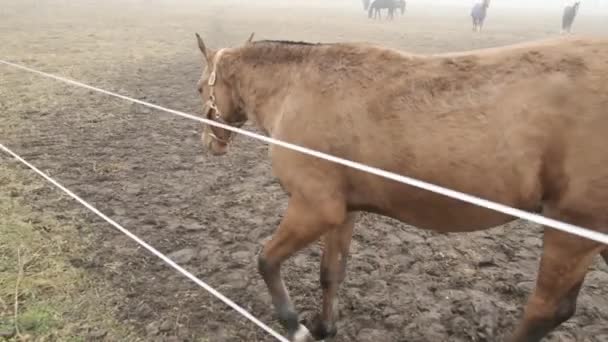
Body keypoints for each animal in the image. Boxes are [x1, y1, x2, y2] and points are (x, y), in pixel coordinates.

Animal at [194, 34, 608, 342]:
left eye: (200, 88)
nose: (209, 143)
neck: (300, 89)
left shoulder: (313, 208)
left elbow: (266, 261)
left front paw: (295, 326)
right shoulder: (343, 212)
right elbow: (331, 273)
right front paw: (325, 326)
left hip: (572, 231)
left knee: (547, 309)